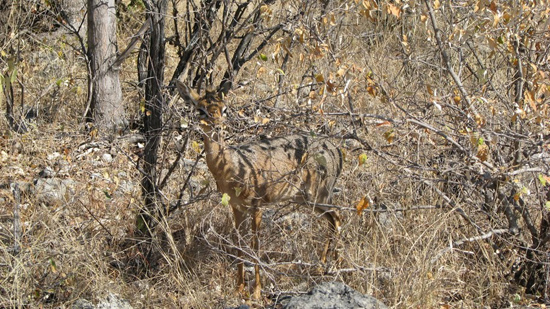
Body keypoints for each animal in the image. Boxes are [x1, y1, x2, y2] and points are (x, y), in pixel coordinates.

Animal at [177, 80, 342, 300]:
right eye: (200, 110)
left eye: (224, 108)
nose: (218, 126)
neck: (230, 167)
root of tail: (337, 150)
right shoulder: (237, 208)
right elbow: (238, 242)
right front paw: (239, 288)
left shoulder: (257, 207)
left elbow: (255, 244)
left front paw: (255, 292)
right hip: (306, 199)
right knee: (331, 220)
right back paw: (322, 264)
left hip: (319, 194)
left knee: (338, 216)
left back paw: (335, 266)